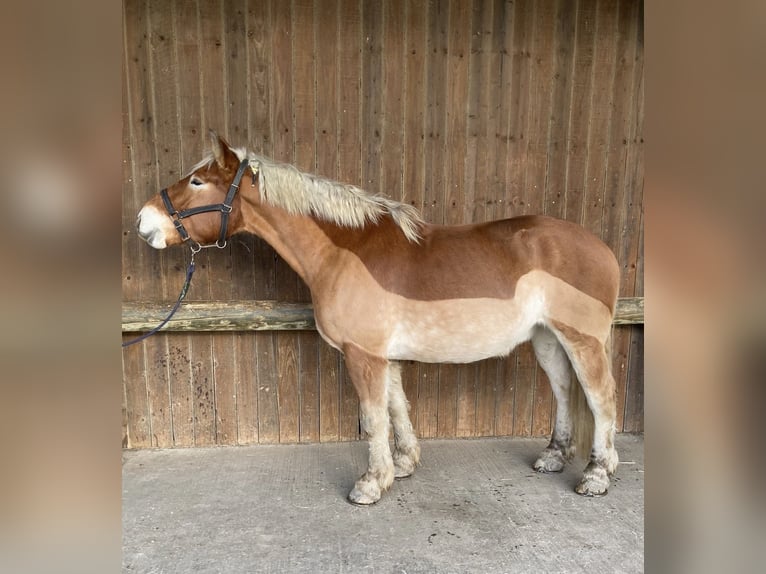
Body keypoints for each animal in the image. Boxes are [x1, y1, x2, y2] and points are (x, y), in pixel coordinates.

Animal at [135, 133, 620, 506]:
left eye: (197, 181)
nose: (144, 220)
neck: (344, 252)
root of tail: (603, 248)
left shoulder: (363, 355)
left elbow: (372, 419)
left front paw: (370, 484)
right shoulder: (384, 356)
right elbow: (396, 408)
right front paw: (402, 465)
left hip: (583, 340)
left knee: (600, 399)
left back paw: (597, 474)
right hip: (546, 338)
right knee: (563, 389)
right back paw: (554, 456)